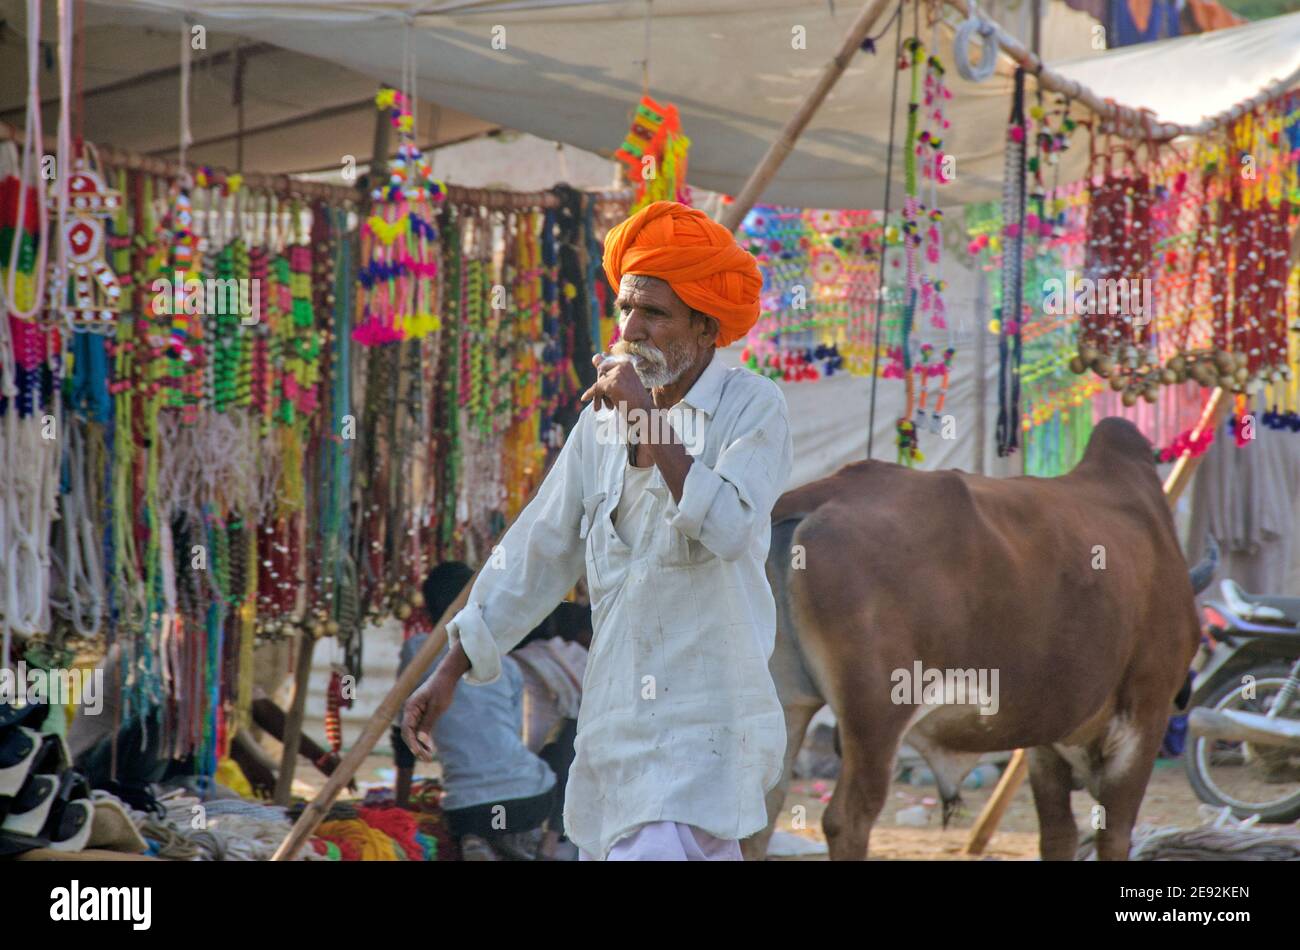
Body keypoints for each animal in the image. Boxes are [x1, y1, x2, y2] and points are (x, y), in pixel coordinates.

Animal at [754, 415, 1206, 862]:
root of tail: (819, 498)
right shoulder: (1145, 715)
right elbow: (1113, 835)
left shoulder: (1047, 738)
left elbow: (1058, 835)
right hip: (877, 717)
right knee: (847, 819)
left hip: (788, 706)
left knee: (762, 814)